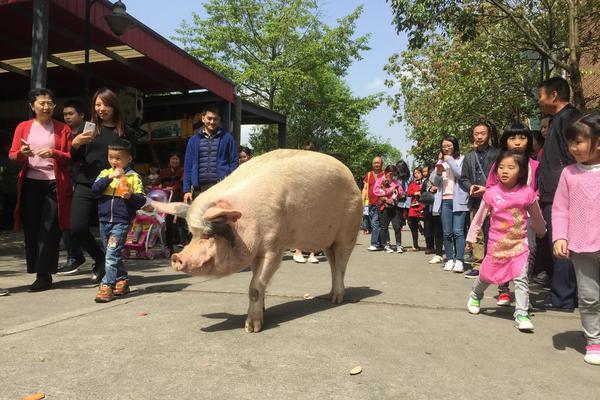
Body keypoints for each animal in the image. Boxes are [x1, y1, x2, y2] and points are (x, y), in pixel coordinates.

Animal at [152, 148, 364, 332]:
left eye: (210, 233)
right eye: (192, 234)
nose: (177, 257)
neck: (248, 219)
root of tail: (352, 178)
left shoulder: (274, 247)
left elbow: (254, 287)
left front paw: (250, 329)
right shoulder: (255, 251)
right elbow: (258, 282)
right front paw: (262, 312)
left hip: (348, 231)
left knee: (341, 266)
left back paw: (336, 299)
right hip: (329, 241)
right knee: (333, 263)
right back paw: (330, 296)